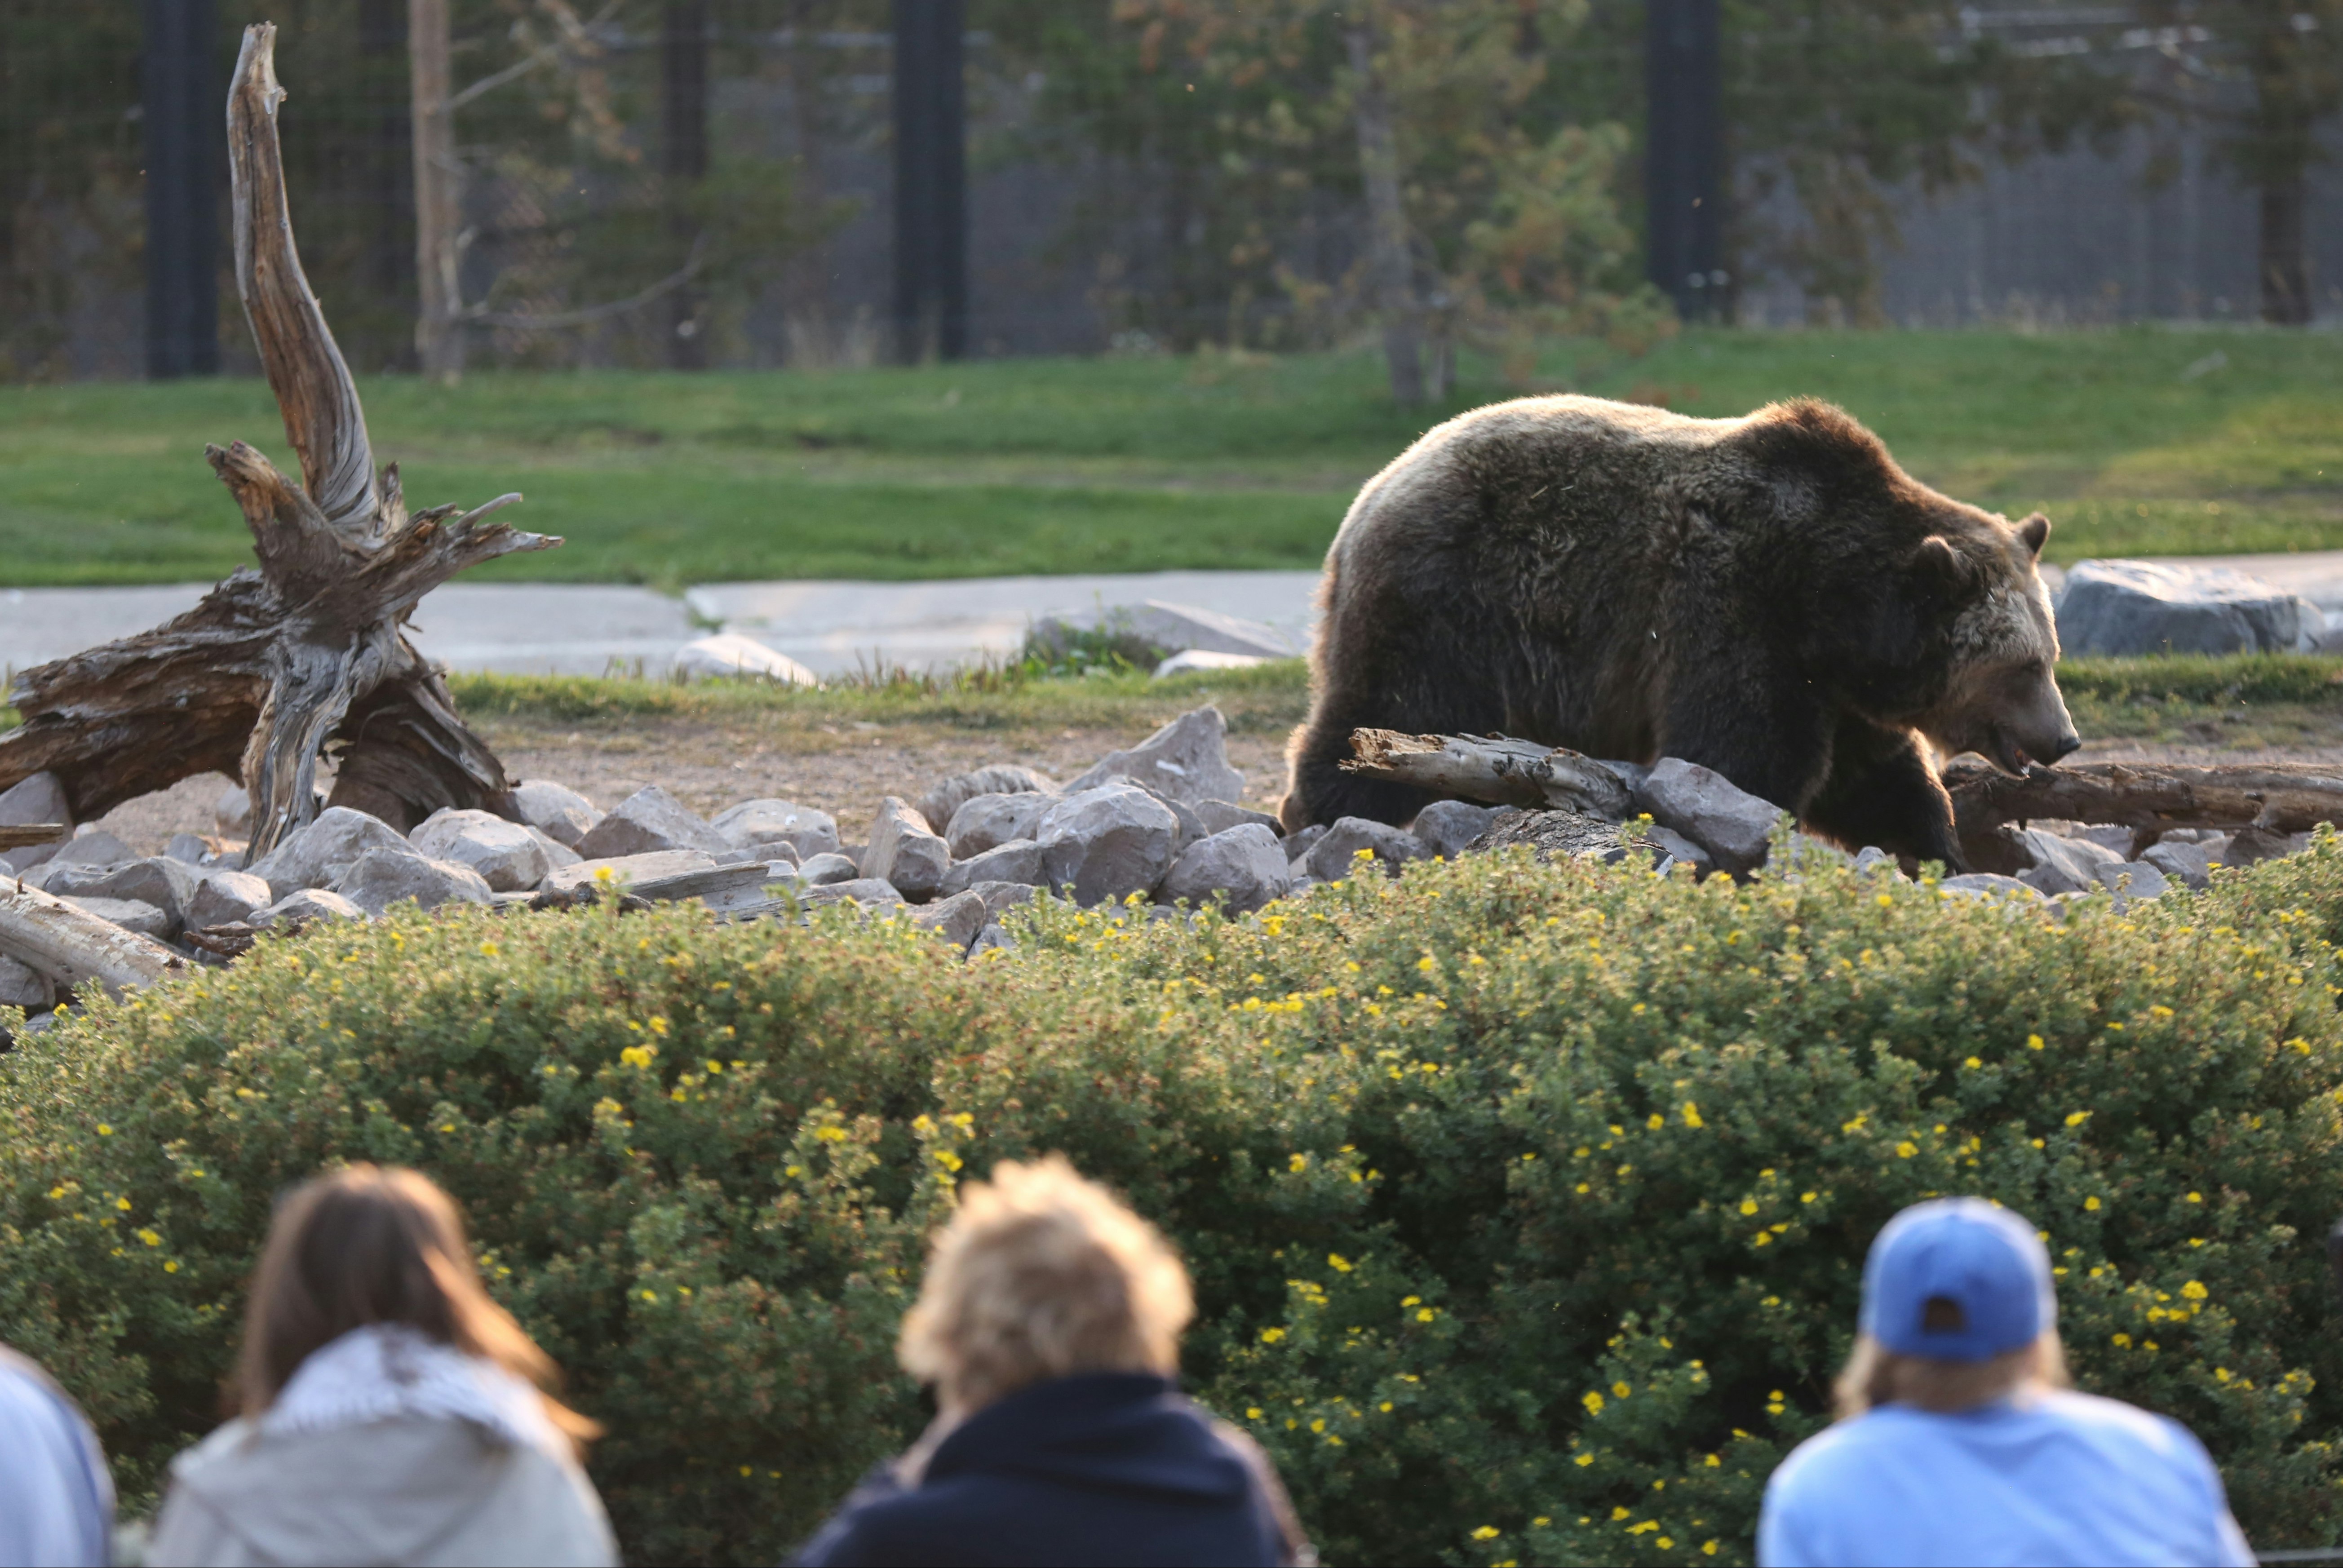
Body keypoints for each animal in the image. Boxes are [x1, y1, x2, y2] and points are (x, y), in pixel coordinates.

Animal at [1293, 394, 2080, 867]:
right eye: (2021, 667)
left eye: (2048, 654)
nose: (2063, 738)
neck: (1834, 601)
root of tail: (1375, 488)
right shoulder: (1731, 604)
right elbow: (1741, 754)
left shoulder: (1835, 685)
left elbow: (1875, 777)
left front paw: (1937, 849)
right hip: (1449, 599)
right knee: (1393, 706)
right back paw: (1327, 810)